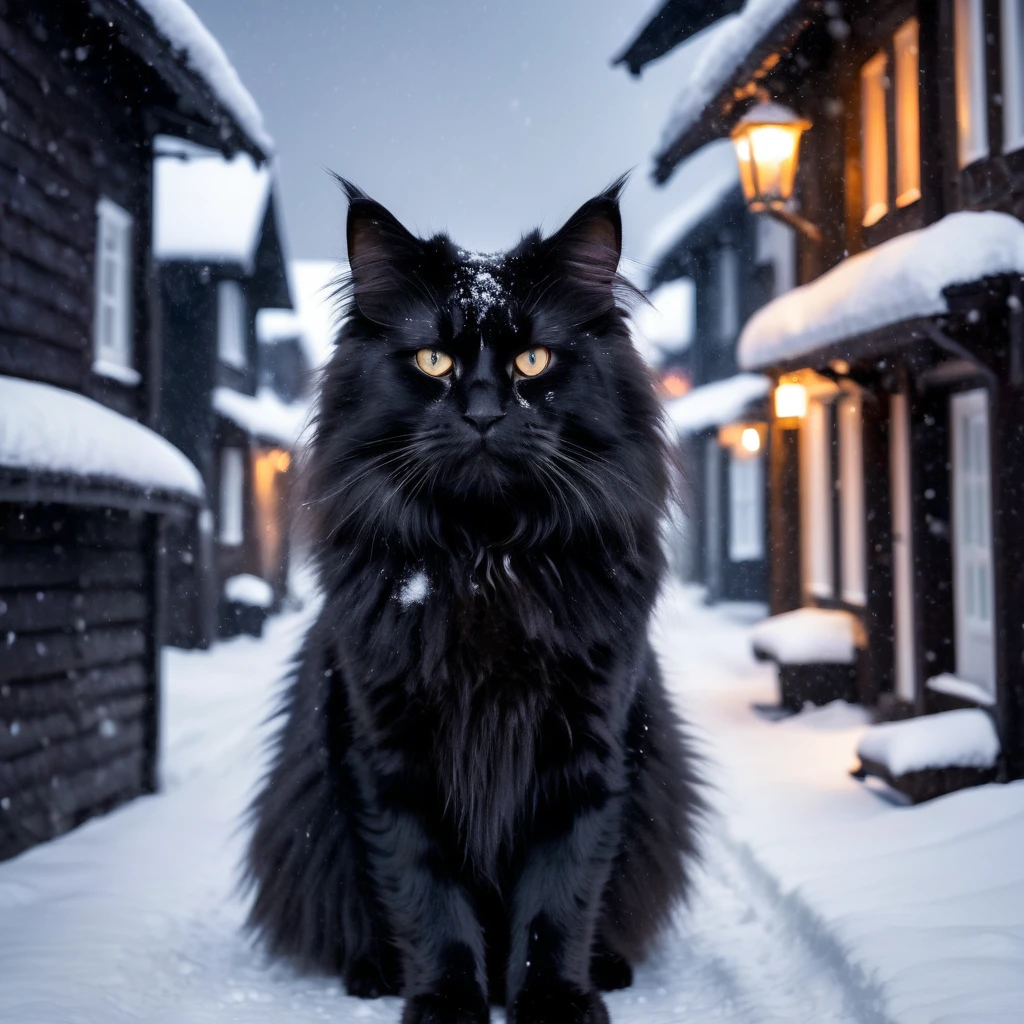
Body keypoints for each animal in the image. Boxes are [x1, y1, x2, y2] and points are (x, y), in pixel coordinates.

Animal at [245, 180, 704, 1019]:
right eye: (433, 360)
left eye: (533, 359)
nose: (485, 412)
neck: (486, 561)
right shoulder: (389, 756)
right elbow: (429, 897)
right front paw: (448, 1002)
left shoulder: (590, 751)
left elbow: (559, 900)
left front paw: (554, 1000)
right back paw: (374, 973)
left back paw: (607, 968)